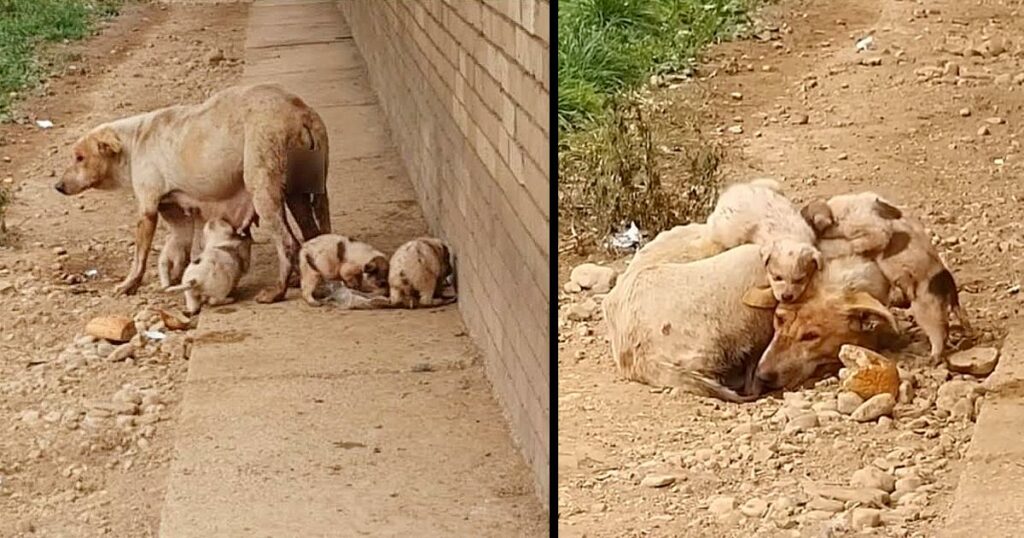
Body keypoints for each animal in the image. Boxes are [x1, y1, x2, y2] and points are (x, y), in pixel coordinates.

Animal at [54, 83, 329, 301]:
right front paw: (174, 279)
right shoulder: (177, 216)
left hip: (264, 192)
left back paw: (278, 291)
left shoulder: (147, 210)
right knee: (312, 235)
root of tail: (299, 111)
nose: (57, 186)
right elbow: (180, 250)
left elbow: (139, 256)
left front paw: (129, 284)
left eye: (80, 157)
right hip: (301, 193)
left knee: (288, 244)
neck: (133, 142)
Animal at [798, 192, 966, 364]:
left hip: (927, 307)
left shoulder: (873, 231)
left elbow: (857, 242)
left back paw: (932, 358)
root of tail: (948, 286)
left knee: (939, 331)